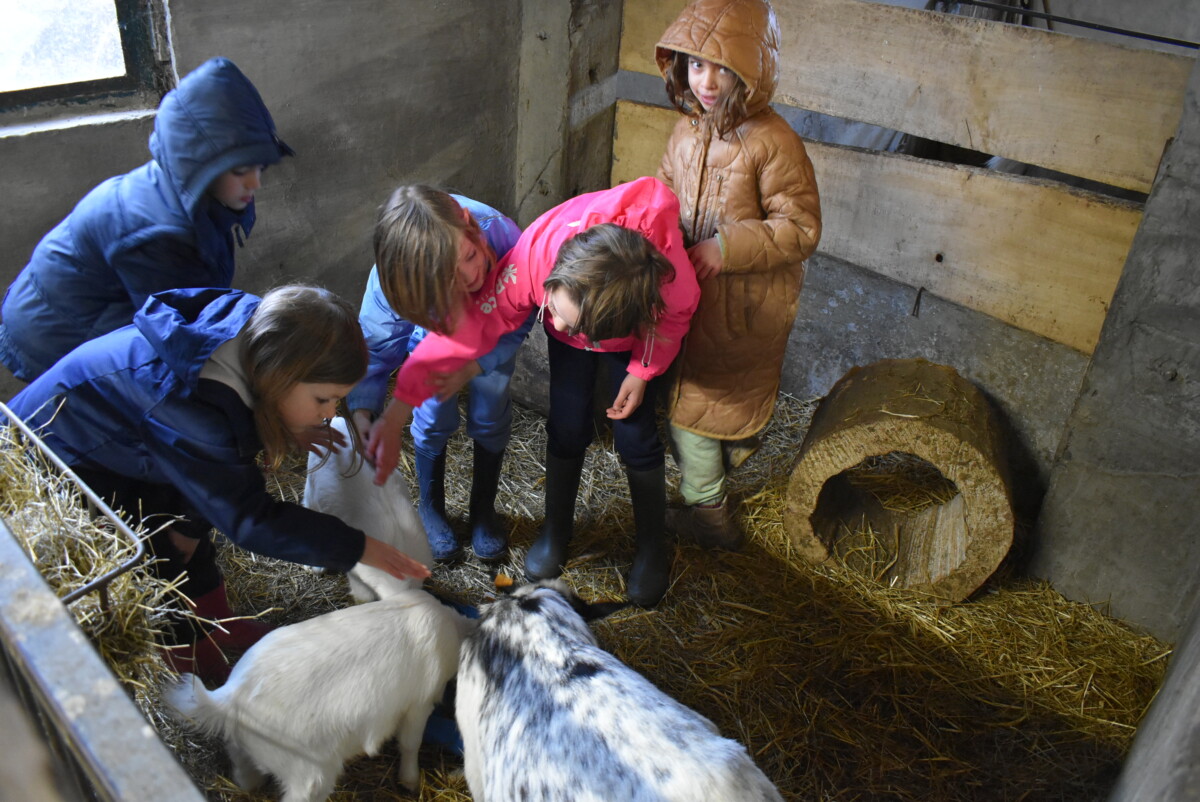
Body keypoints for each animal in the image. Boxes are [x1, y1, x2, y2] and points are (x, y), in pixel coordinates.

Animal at [164, 588, 472, 802]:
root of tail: (229, 699)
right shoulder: (419, 703)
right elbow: (410, 743)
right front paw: (410, 781)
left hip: (242, 745)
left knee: (242, 768)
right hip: (309, 775)